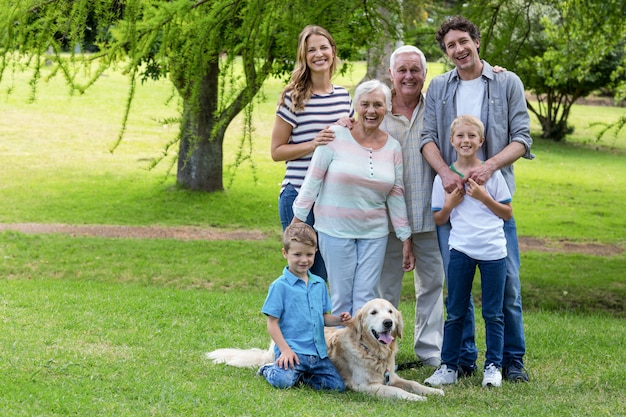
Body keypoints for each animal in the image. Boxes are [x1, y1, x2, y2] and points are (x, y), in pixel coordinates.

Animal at [207, 298, 442, 398]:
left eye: (391, 312)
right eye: (373, 312)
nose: (388, 323)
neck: (371, 351)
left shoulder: (390, 376)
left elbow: (411, 383)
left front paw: (433, 391)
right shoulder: (365, 386)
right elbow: (397, 391)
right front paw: (417, 399)